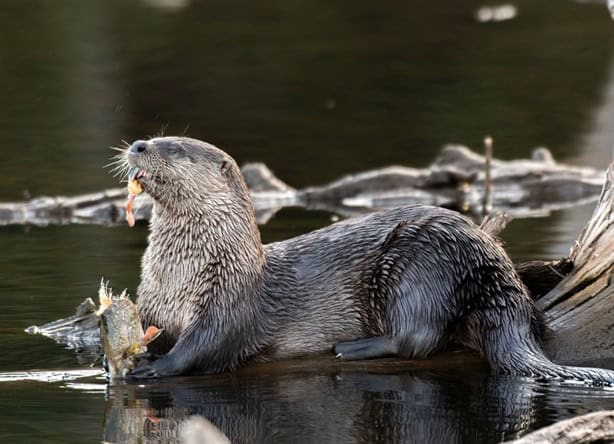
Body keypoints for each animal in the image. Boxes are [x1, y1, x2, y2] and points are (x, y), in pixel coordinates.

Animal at [126, 136, 614, 386]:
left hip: (421, 263)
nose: (138, 144)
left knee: (420, 335)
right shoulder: (153, 305)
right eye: (152, 138)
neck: (183, 272)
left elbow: (204, 346)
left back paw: (353, 347)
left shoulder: (229, 299)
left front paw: (153, 367)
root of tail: (494, 266)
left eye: (174, 147)